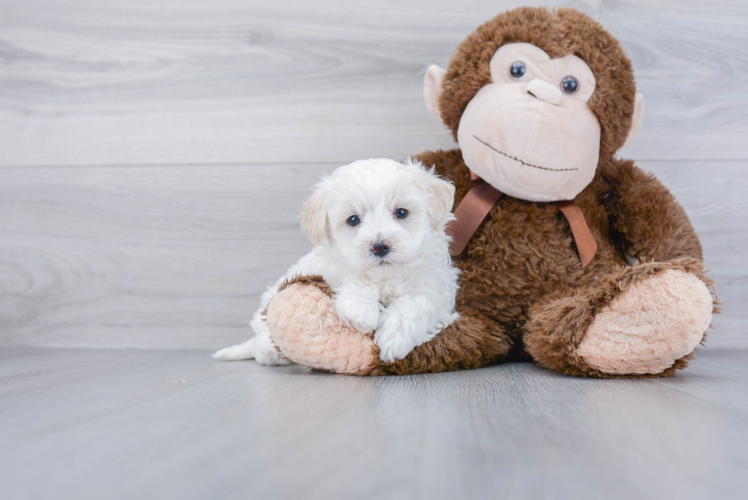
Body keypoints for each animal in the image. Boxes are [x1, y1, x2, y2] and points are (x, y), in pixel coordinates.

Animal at [213, 158, 458, 366]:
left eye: (401, 212)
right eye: (353, 220)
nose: (380, 246)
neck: (386, 278)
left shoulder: (436, 287)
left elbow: (418, 302)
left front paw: (394, 336)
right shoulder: (329, 268)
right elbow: (354, 276)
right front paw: (361, 311)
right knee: (261, 345)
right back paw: (270, 351)